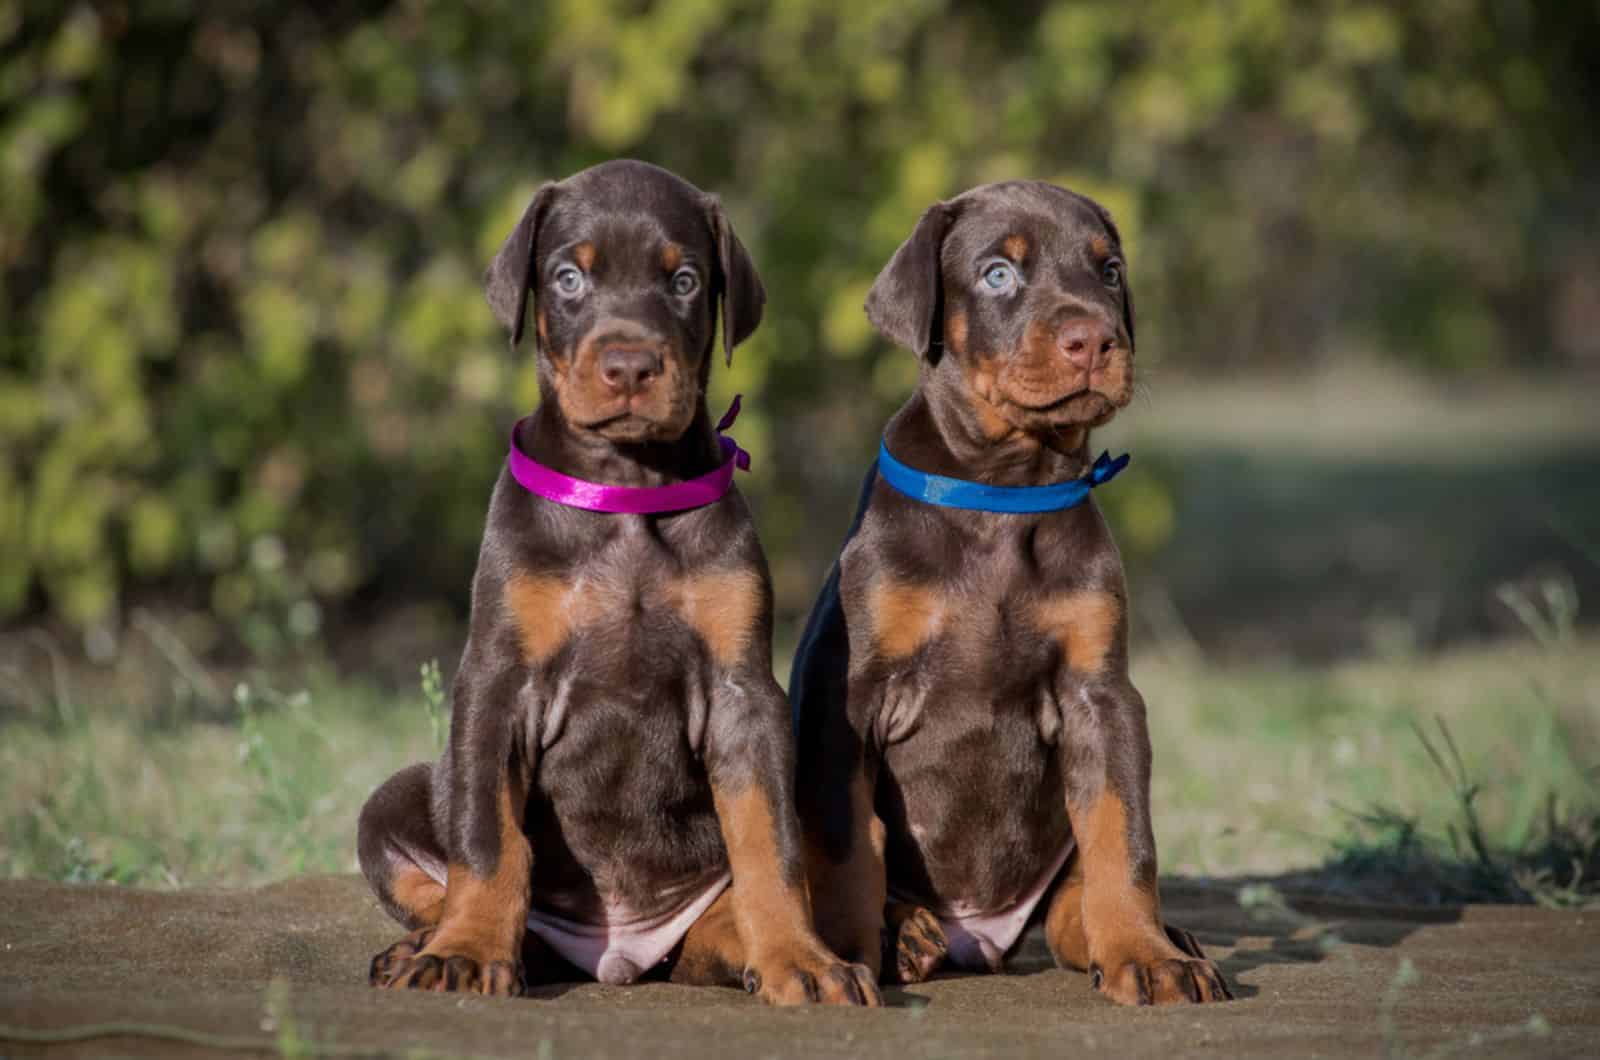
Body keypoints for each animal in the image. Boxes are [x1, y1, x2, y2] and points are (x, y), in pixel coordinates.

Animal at [358, 161, 883, 1011]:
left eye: (685, 279)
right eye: (569, 277)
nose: (630, 367)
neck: (628, 491)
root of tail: (620, 956)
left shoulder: (744, 697)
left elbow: (770, 846)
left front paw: (800, 960)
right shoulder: (498, 682)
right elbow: (487, 840)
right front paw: (466, 951)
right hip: (394, 800)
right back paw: (425, 945)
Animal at [793, 178, 1228, 1011]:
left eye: (1110, 271)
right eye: (999, 273)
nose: (1095, 341)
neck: (1005, 490)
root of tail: (981, 937)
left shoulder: (1101, 695)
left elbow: (1125, 837)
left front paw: (1145, 954)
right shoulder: (848, 698)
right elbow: (848, 848)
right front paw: (850, 957)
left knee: (1071, 901)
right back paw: (908, 935)